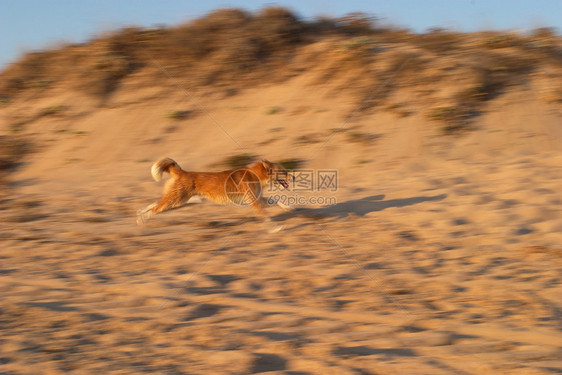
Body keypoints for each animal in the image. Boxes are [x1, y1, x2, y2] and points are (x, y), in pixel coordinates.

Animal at [137, 157, 290, 225]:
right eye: (283, 171)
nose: (293, 177)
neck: (255, 174)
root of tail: (182, 172)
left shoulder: (258, 199)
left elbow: (275, 200)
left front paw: (287, 207)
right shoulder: (254, 201)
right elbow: (264, 215)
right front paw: (274, 228)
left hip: (179, 202)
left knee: (156, 203)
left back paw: (140, 215)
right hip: (176, 200)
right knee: (156, 209)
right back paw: (143, 219)